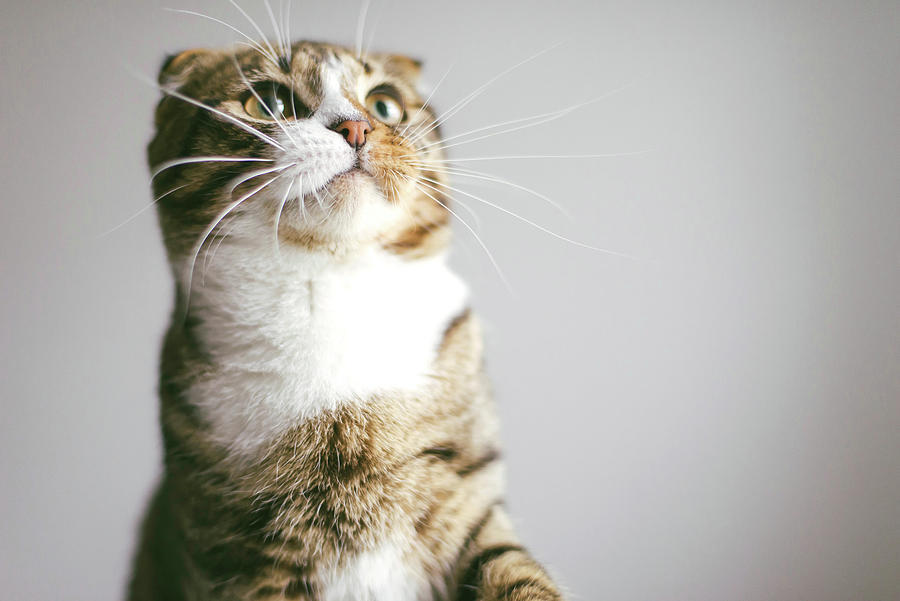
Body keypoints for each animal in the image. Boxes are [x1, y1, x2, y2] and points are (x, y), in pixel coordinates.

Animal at [128, 39, 564, 596]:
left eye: (384, 105)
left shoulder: (468, 499)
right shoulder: (237, 560)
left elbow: (516, 575)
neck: (329, 284)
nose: (357, 128)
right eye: (268, 102)